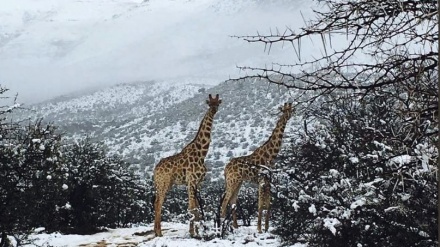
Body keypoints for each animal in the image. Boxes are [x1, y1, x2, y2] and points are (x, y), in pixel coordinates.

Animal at [155, 93, 223, 236]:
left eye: (217, 103)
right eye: (209, 103)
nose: (214, 110)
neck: (202, 153)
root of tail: (155, 170)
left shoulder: (198, 182)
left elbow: (196, 207)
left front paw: (197, 231)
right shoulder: (191, 181)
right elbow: (192, 207)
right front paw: (193, 233)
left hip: (163, 184)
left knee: (155, 203)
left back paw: (156, 231)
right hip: (163, 183)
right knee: (158, 203)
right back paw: (159, 233)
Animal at [220, 102, 296, 232]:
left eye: (290, 109)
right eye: (285, 110)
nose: (291, 112)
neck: (270, 154)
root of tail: (225, 169)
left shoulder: (268, 179)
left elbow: (268, 203)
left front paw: (266, 227)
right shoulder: (262, 179)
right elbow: (261, 204)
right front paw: (260, 228)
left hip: (238, 182)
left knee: (232, 201)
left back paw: (235, 226)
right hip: (232, 181)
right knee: (225, 202)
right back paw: (223, 226)